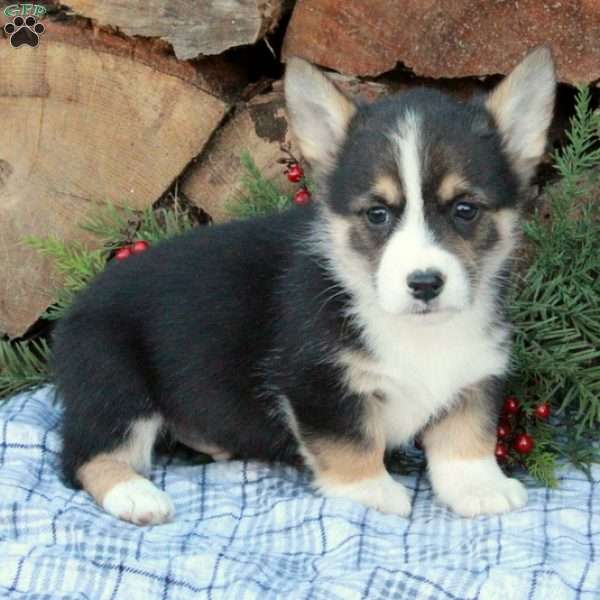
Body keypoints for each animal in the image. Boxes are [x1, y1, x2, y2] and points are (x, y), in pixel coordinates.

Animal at [54, 48, 556, 524]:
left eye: (465, 209)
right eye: (377, 214)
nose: (425, 283)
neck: (418, 332)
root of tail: (78, 303)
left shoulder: (476, 373)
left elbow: (466, 437)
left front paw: (481, 488)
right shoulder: (316, 383)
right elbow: (351, 441)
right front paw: (373, 492)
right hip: (114, 383)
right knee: (86, 456)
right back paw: (136, 496)